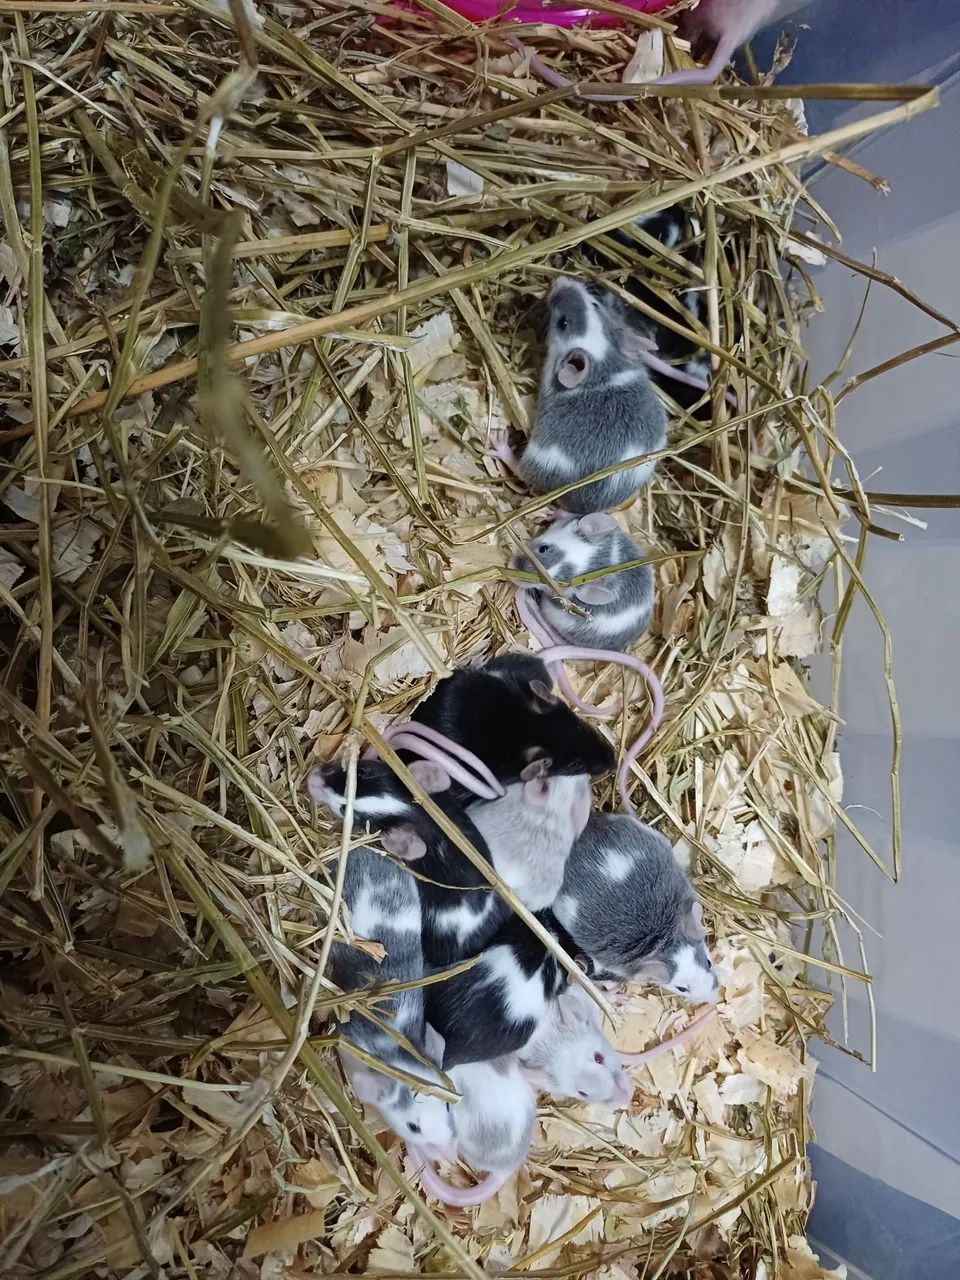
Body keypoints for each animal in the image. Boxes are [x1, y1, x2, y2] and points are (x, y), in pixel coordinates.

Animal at [502, 278, 667, 515]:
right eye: (595, 304)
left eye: (563, 323)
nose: (560, 281)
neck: (602, 367)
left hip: (537, 459)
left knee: (521, 471)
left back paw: (500, 446)